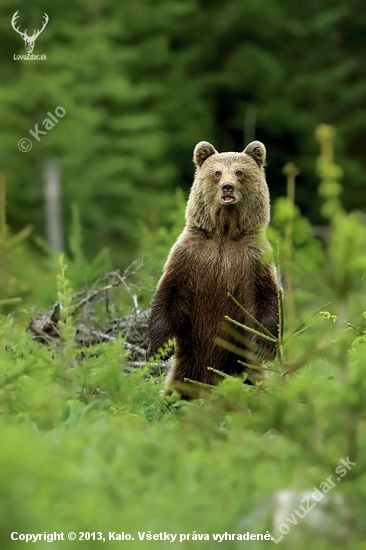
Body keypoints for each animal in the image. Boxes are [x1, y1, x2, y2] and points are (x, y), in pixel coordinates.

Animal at [147, 138, 278, 396]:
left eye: (239, 172)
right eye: (217, 173)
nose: (227, 187)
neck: (224, 232)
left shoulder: (253, 260)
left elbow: (267, 298)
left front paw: (262, 345)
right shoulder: (191, 255)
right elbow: (169, 293)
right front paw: (160, 347)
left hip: (241, 367)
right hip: (189, 365)